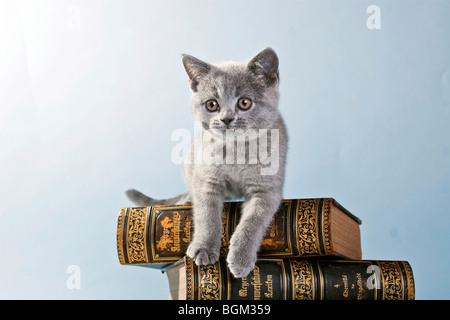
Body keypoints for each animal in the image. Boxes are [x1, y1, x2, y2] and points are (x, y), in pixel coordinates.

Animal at [126, 47, 288, 278]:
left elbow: (253, 222)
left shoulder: (266, 190)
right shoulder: (206, 179)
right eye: (212, 105)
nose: (226, 119)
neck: (235, 151)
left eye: (244, 102)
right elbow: (206, 215)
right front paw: (203, 247)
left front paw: (240, 258)